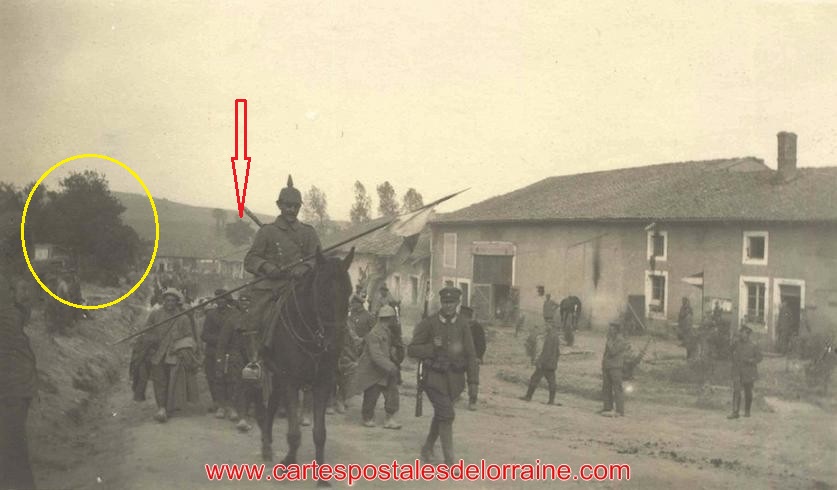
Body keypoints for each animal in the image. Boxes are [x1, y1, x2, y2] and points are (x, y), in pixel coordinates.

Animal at [257, 247, 354, 486]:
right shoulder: (290, 380)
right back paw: (266, 446)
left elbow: (320, 433)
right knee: (268, 407)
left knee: (272, 405)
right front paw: (287, 464)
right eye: (323, 294)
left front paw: (322, 475)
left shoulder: (323, 383)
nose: (336, 345)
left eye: (348, 292)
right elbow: (294, 433)